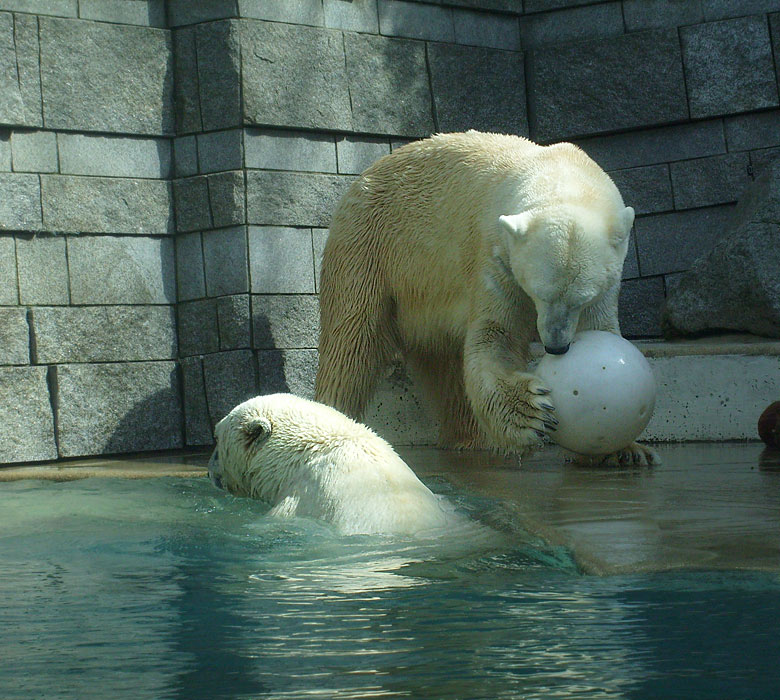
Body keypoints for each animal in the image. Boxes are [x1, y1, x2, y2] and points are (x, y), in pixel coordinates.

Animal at [316, 131, 660, 464]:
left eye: (582, 298)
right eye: (538, 292)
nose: (556, 346)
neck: (560, 169)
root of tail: (362, 178)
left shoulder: (607, 279)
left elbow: (600, 329)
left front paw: (629, 451)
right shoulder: (495, 255)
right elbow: (496, 334)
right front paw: (529, 413)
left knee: (445, 368)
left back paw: (469, 439)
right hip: (369, 245)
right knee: (352, 341)